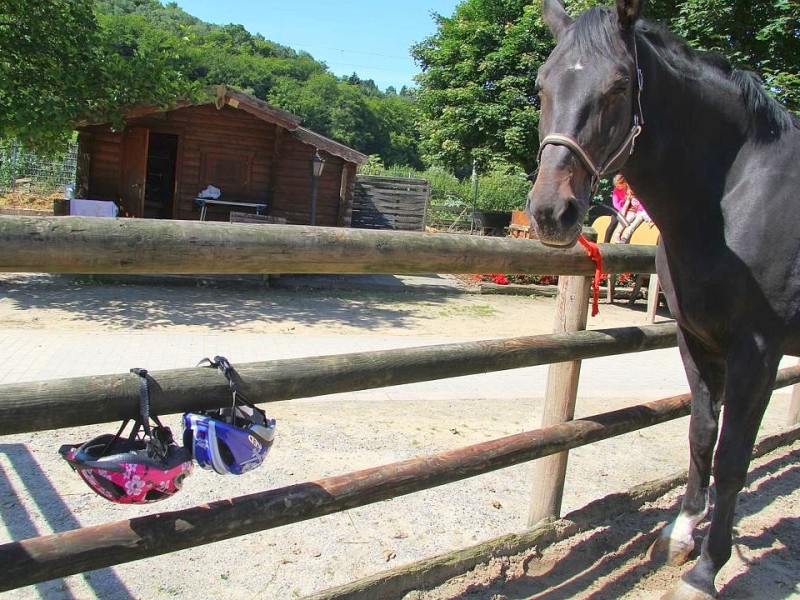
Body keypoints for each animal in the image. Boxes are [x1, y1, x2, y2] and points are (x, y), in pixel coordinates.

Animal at [528, 1, 796, 600]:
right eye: (541, 85)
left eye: (617, 86)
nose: (551, 211)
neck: (738, 194)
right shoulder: (696, 338)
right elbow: (700, 437)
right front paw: (679, 536)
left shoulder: (758, 349)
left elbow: (733, 457)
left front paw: (704, 570)